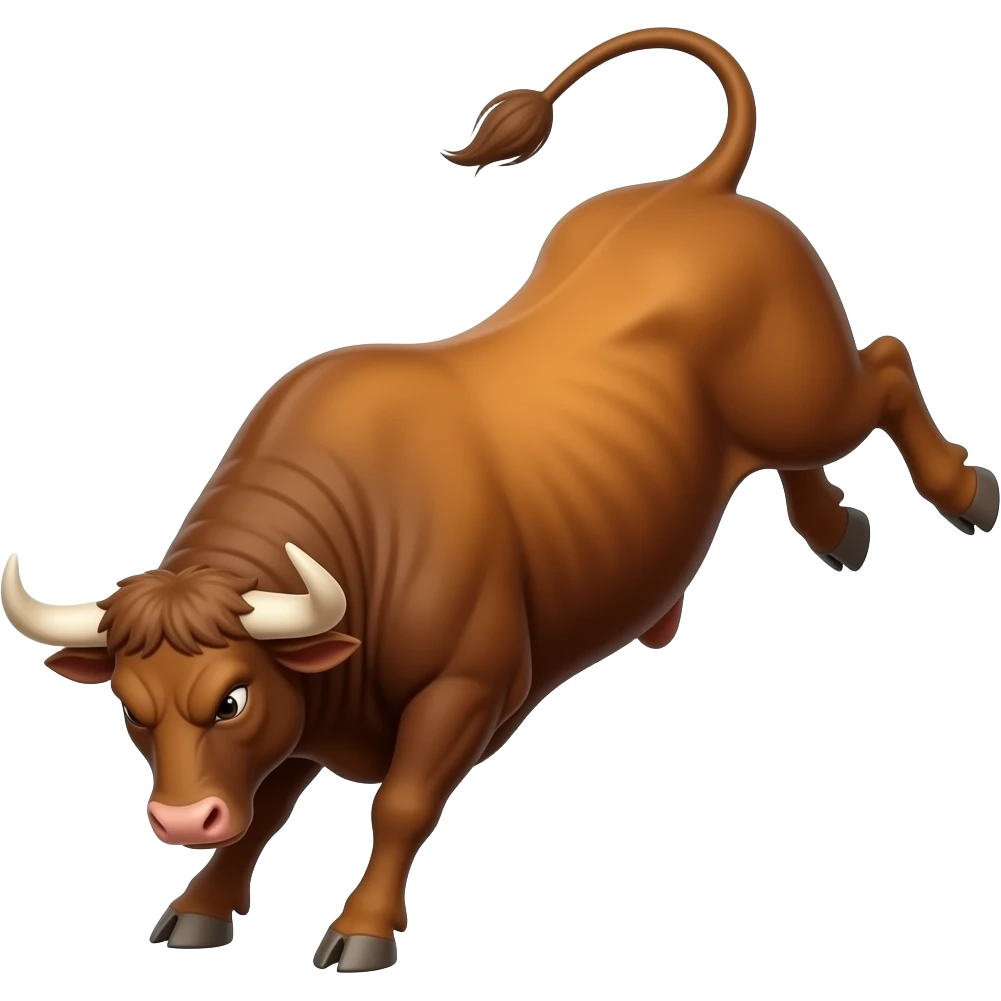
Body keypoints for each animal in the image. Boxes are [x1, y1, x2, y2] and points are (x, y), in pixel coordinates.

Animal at [1, 26, 998, 976]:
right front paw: (202, 906)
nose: (179, 818)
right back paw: (823, 535)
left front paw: (362, 931)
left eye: (230, 697)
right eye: (131, 705)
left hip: (805, 393)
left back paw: (963, 492)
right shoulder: (308, 703)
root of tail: (695, 193)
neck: (356, 543)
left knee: (884, 365)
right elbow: (268, 802)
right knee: (793, 456)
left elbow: (400, 804)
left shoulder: (467, 687)